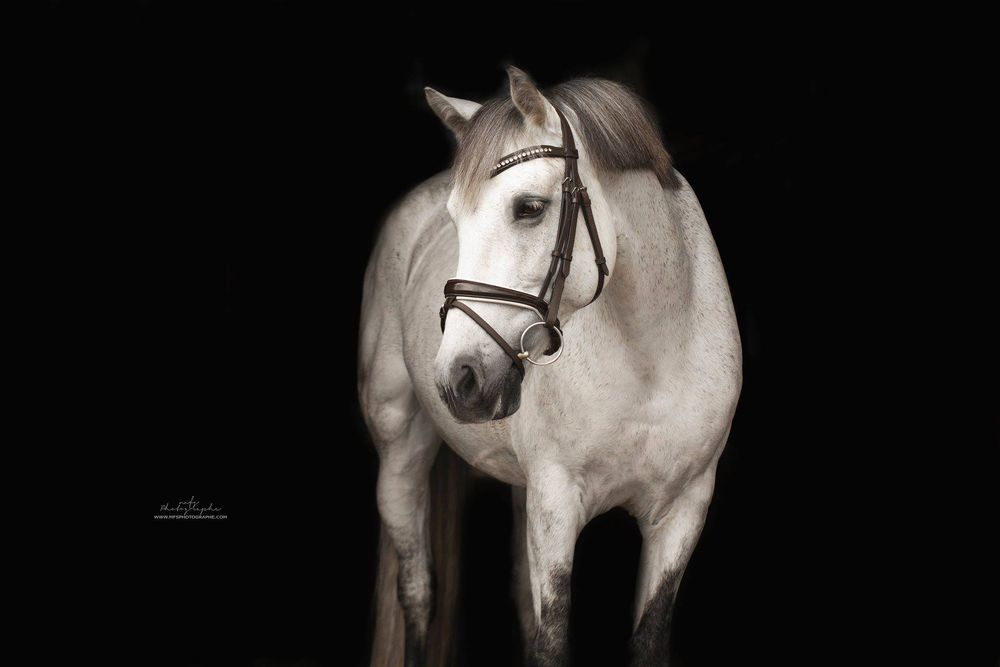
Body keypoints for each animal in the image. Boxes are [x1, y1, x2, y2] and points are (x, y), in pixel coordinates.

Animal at [359, 66, 742, 667]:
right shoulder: (557, 506)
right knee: (417, 591)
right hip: (401, 453)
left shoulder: (683, 511)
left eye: (529, 208)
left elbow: (645, 640)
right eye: (454, 219)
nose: (459, 379)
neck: (652, 363)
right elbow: (551, 641)